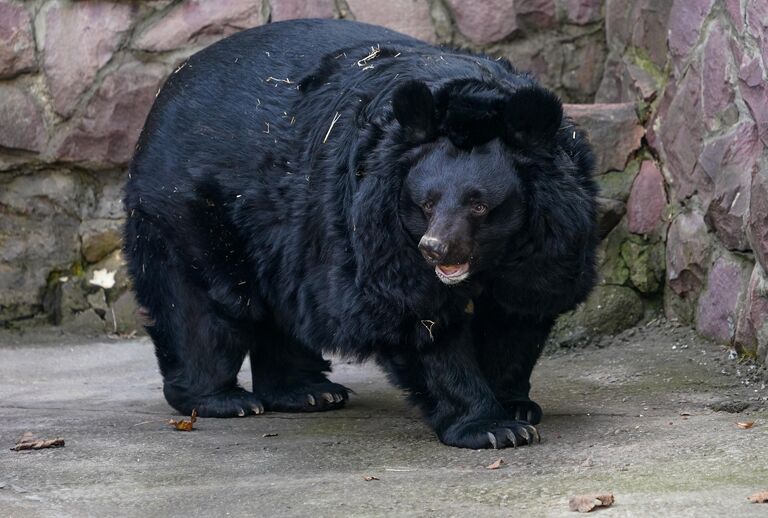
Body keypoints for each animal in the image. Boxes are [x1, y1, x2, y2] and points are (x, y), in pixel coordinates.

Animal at [123, 20, 596, 450]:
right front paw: (492, 427)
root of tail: (173, 81)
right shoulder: (376, 221)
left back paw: (308, 392)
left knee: (282, 302)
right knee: (203, 304)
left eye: (479, 205)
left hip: (281, 231)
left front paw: (516, 406)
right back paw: (222, 399)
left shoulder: (550, 237)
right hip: (190, 206)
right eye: (425, 204)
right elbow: (416, 314)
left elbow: (520, 309)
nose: (434, 249)